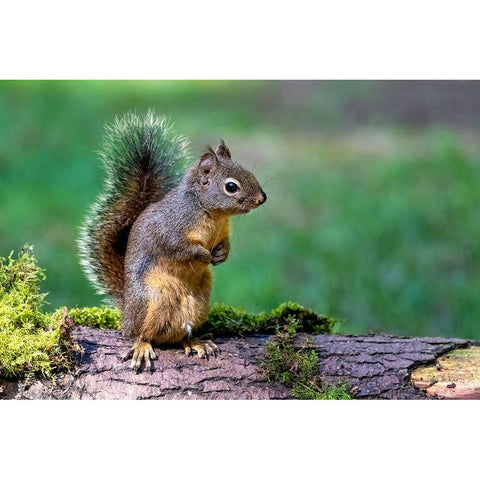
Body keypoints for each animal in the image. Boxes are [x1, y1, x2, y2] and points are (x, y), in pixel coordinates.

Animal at [79, 111, 266, 372]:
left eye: (248, 172)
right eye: (231, 186)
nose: (262, 198)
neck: (211, 213)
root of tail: (126, 313)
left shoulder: (223, 232)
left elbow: (226, 244)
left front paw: (221, 254)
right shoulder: (171, 232)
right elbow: (182, 249)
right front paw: (204, 255)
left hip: (198, 302)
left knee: (178, 333)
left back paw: (195, 341)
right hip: (154, 299)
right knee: (143, 333)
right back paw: (142, 346)